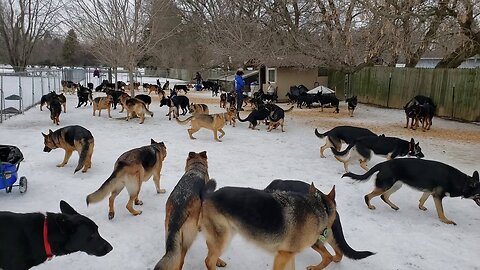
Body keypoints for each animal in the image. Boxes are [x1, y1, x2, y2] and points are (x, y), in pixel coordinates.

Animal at [202, 182, 338, 268]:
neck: (321, 207)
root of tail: (210, 195)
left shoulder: (288, 255)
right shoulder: (282, 256)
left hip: (228, 233)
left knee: (211, 250)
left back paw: (218, 261)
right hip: (224, 237)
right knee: (208, 260)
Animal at [344, 158, 480, 226]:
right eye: (479, 193)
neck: (463, 182)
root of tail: (383, 163)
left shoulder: (430, 191)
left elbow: (422, 199)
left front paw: (421, 207)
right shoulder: (437, 196)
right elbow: (441, 211)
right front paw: (446, 221)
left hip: (396, 185)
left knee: (384, 196)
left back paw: (394, 206)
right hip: (386, 185)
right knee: (368, 196)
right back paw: (370, 206)